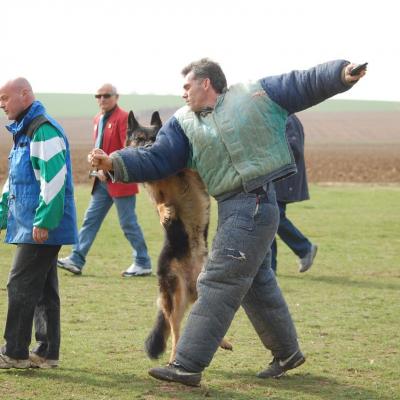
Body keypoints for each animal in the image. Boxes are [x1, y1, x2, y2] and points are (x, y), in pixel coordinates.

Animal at [125, 111, 231, 362]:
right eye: (139, 138)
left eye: (155, 138)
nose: (149, 147)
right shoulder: (154, 191)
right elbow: (160, 202)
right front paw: (166, 212)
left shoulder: (192, 173)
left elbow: (188, 170)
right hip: (174, 297)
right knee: (176, 332)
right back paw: (174, 357)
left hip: (201, 289)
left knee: (205, 315)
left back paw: (222, 341)